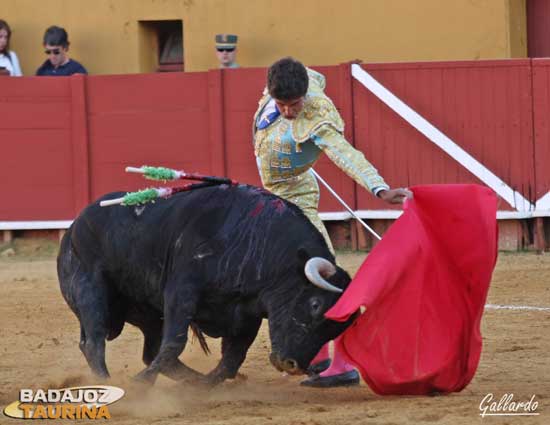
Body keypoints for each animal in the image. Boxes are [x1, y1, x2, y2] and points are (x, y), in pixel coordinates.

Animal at [57, 183, 358, 384]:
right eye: (315, 304)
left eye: (336, 328)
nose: (292, 365)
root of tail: (72, 228)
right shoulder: (181, 292)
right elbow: (175, 343)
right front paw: (140, 386)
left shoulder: (248, 311)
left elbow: (231, 360)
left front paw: (203, 386)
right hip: (91, 290)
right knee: (94, 342)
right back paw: (108, 384)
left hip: (148, 313)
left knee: (150, 350)